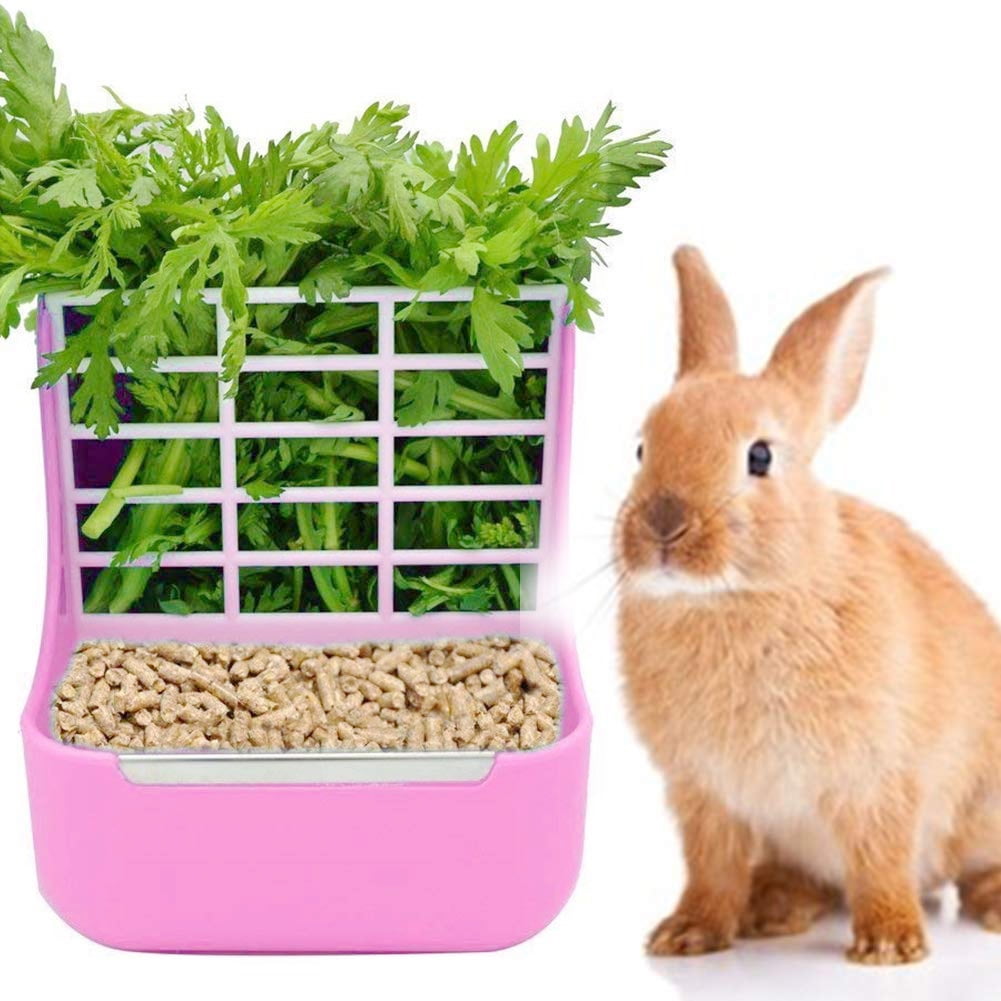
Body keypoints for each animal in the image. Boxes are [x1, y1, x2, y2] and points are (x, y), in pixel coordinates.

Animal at [615, 246, 1001, 965]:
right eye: (641, 447)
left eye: (760, 455)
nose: (663, 525)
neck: (740, 596)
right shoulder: (705, 794)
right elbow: (709, 867)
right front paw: (686, 933)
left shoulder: (877, 777)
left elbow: (880, 858)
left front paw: (890, 945)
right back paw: (771, 907)